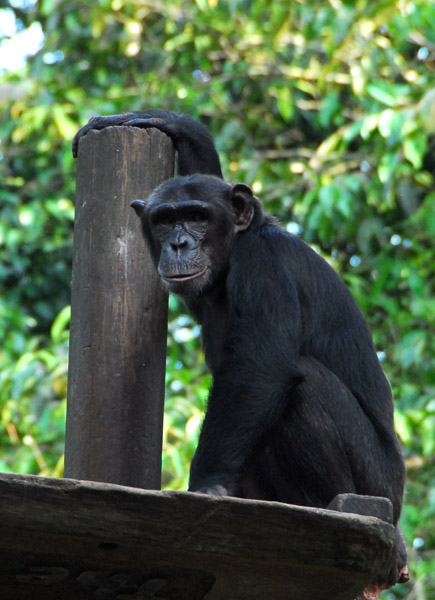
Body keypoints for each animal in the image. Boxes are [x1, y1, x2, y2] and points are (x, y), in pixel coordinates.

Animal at [72, 109, 408, 596]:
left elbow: (259, 369)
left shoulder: (264, 263)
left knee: (306, 387)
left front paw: (206, 489)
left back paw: (331, 505)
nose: (178, 243)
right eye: (164, 221)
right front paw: (166, 122)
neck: (232, 255)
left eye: (196, 217)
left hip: (378, 484)